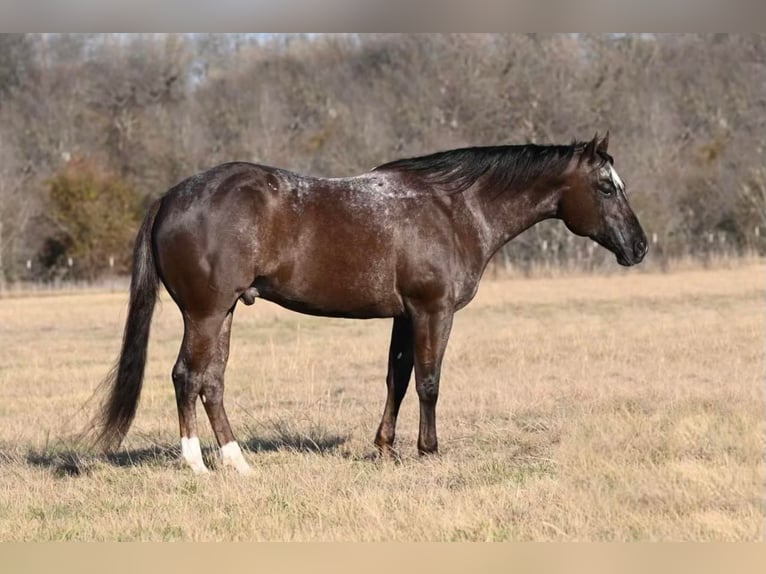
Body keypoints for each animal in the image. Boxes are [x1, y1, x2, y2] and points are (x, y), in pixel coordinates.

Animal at [93, 133, 652, 474]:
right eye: (606, 186)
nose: (640, 246)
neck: (454, 209)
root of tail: (171, 196)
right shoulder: (432, 311)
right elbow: (429, 381)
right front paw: (428, 450)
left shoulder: (405, 316)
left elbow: (397, 379)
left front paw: (385, 448)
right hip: (206, 314)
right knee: (187, 377)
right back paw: (196, 464)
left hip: (224, 312)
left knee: (211, 382)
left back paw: (238, 462)